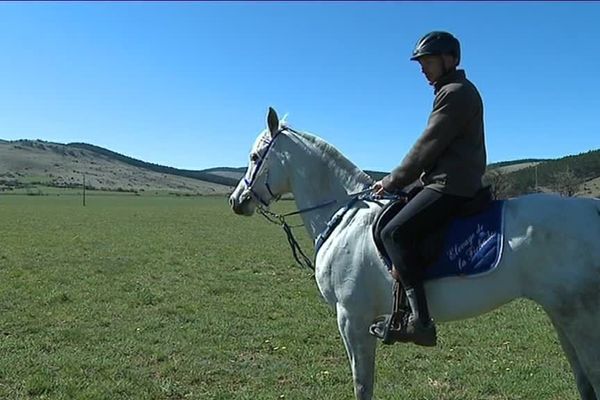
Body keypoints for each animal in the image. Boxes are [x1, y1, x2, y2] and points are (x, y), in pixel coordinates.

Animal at [229, 107, 600, 400]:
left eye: (254, 157)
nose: (236, 201)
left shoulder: (351, 318)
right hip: (560, 315)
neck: (345, 217)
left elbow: (362, 385)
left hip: (580, 317)